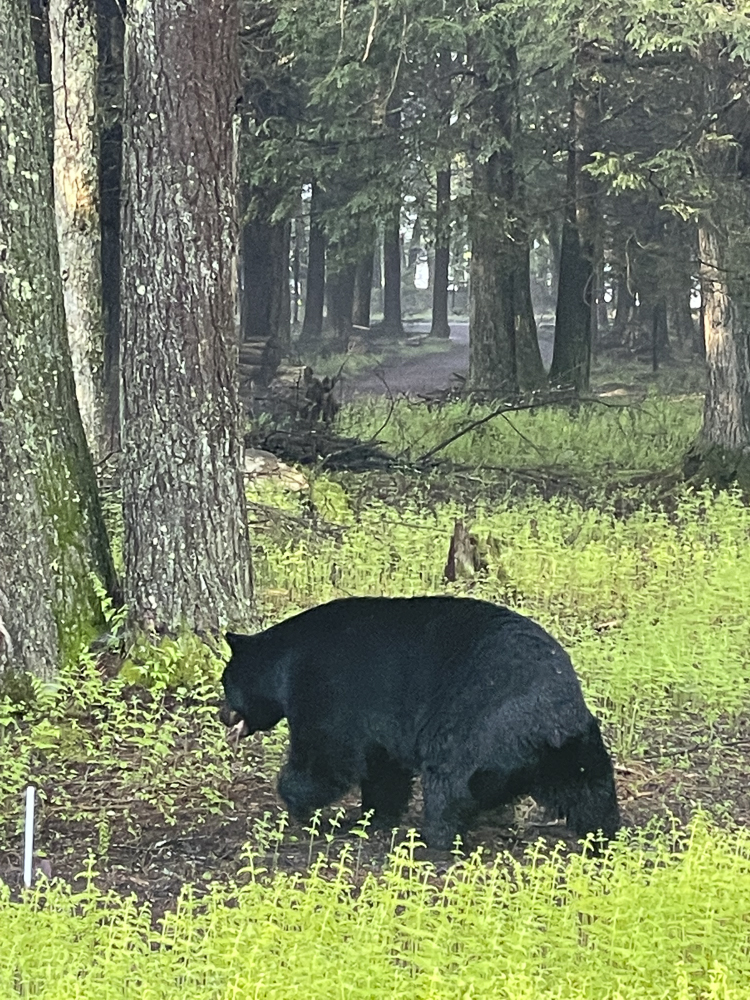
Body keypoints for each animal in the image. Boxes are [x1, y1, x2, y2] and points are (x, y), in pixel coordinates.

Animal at [220, 596, 620, 850]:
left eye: (226, 683)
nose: (223, 714)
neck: (285, 661)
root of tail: (549, 724)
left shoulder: (326, 689)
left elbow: (326, 755)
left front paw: (297, 803)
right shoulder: (380, 726)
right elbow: (383, 770)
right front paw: (372, 817)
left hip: (472, 723)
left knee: (449, 783)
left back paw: (437, 837)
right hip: (576, 746)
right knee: (591, 788)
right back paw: (602, 836)